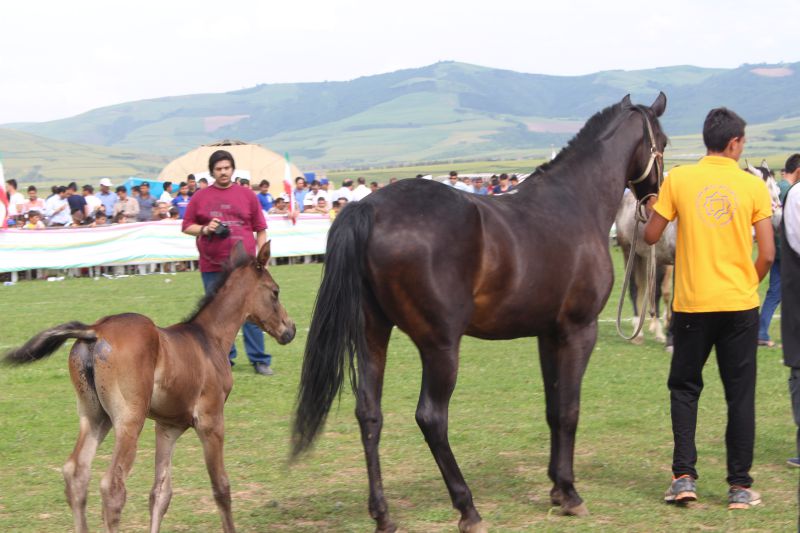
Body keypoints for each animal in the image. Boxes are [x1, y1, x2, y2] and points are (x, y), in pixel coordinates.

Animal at [3, 242, 296, 532]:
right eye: (275, 292)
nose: (290, 329)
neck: (209, 339)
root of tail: (94, 330)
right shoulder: (211, 420)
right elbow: (221, 486)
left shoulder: (168, 426)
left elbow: (160, 493)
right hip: (129, 419)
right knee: (112, 486)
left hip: (94, 416)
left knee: (76, 473)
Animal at [294, 93, 668, 528]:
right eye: (662, 140)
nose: (655, 199)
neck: (575, 202)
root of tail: (368, 209)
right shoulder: (579, 330)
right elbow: (570, 410)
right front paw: (570, 493)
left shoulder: (548, 334)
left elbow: (553, 408)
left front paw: (556, 489)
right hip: (440, 346)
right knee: (431, 417)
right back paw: (467, 508)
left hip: (374, 333)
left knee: (370, 413)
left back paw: (383, 514)